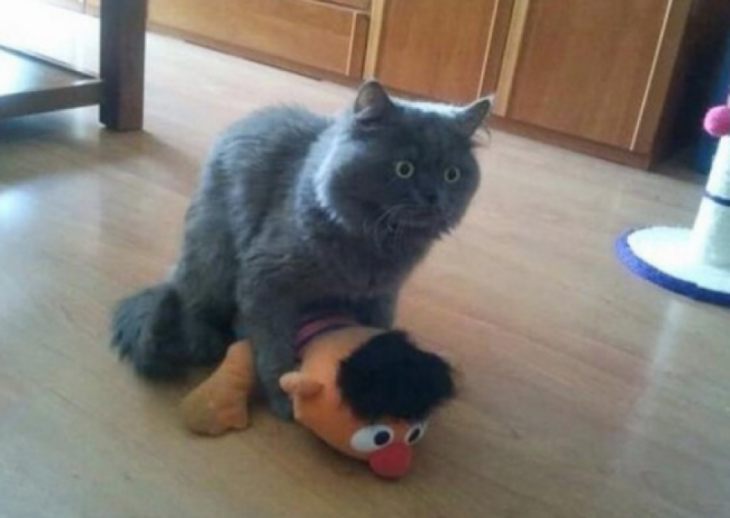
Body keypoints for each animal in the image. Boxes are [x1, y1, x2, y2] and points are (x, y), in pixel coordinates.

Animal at [112, 82, 490, 422]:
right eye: (404, 168)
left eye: (452, 174)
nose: (433, 197)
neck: (375, 246)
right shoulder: (266, 281)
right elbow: (274, 350)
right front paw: (285, 401)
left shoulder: (382, 293)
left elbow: (377, 326)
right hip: (214, 256)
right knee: (192, 301)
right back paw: (204, 342)